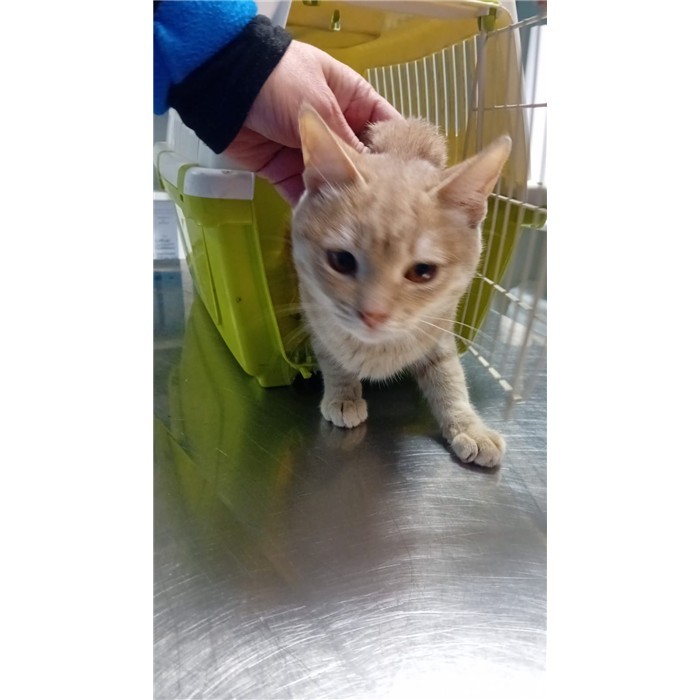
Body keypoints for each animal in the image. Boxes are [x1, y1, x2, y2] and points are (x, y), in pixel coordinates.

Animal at [291, 105, 511, 468]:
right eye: (341, 260)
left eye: (422, 271)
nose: (373, 314)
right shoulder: (314, 311)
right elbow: (332, 357)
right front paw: (342, 395)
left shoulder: (440, 329)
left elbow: (449, 377)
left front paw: (469, 426)